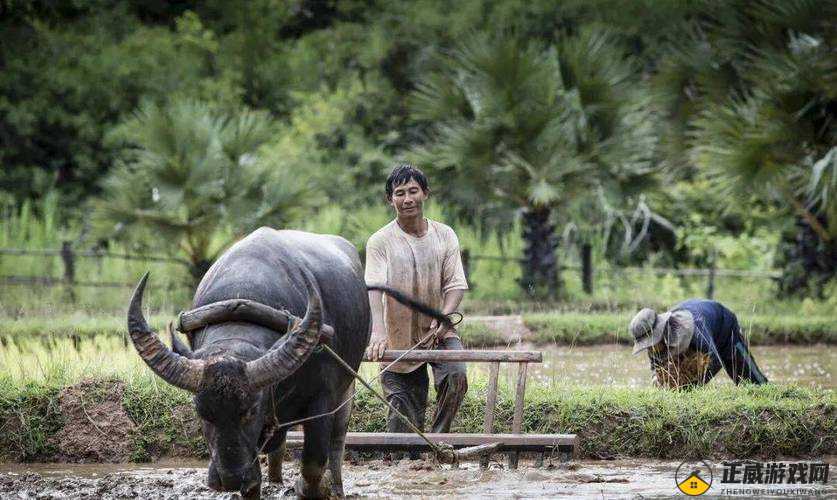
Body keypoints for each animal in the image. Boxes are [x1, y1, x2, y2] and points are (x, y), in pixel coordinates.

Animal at [126, 229, 370, 498]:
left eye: (251, 410)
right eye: (202, 413)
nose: (230, 479)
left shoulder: (322, 399)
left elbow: (313, 465)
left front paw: (313, 488)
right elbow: (254, 484)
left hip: (347, 386)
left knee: (337, 441)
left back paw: (336, 486)